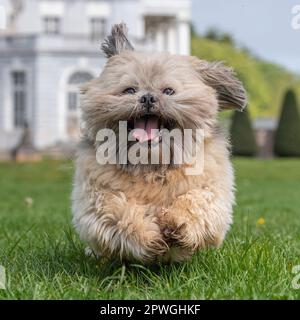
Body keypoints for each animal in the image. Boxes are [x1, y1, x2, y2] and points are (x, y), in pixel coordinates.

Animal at [71, 23, 247, 262]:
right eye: (130, 90)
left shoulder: (211, 193)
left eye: (168, 91)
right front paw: (148, 237)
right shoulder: (97, 202)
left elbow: (197, 203)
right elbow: (119, 211)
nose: (147, 97)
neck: (153, 165)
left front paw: (178, 223)